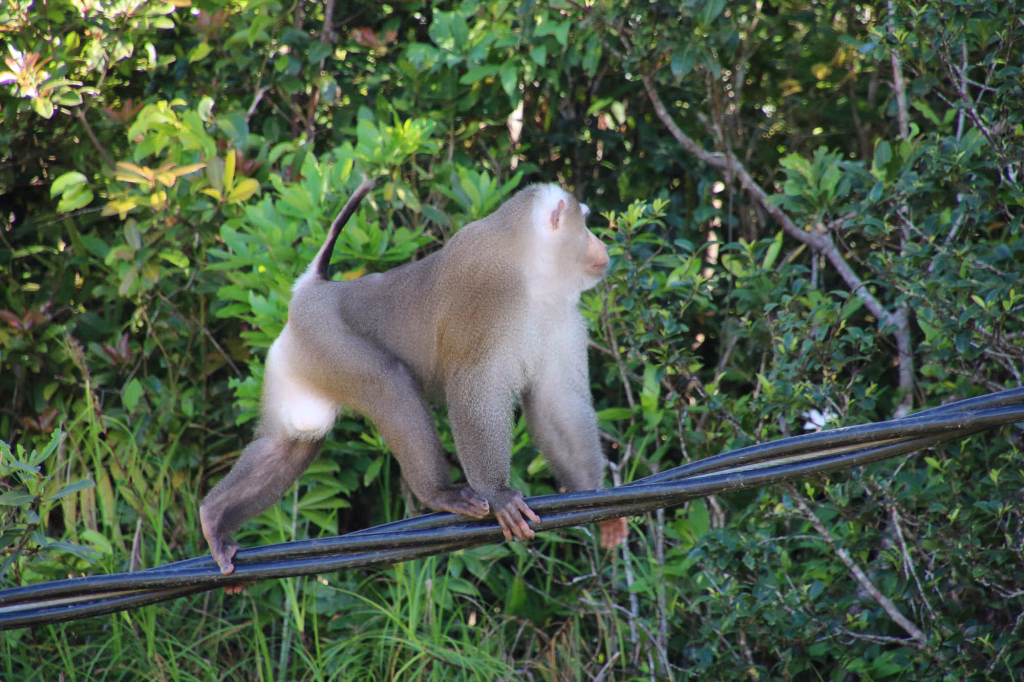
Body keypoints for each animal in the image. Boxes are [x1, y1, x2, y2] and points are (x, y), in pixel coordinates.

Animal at [200, 178, 629, 576]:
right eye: (585, 225)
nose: (603, 246)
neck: (531, 272)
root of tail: (314, 290)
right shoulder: (486, 298)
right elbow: (473, 389)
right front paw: (498, 493)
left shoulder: (561, 319)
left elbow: (558, 404)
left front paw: (597, 500)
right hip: (326, 341)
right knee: (389, 385)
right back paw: (437, 493)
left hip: (300, 358)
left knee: (294, 438)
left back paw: (213, 518)